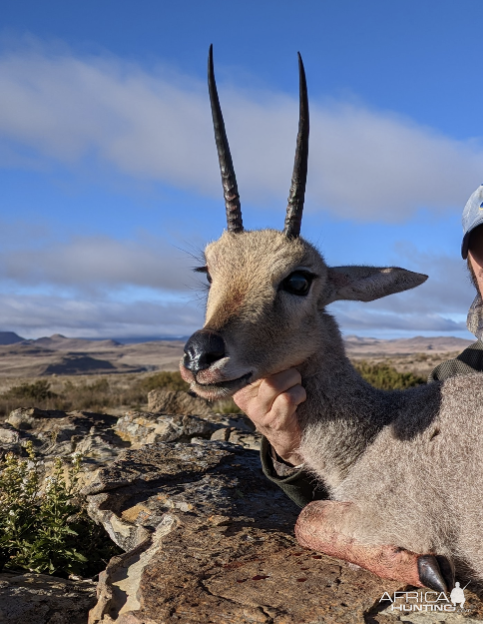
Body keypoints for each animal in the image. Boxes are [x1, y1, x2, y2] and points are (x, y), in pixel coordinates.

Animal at [180, 47, 482, 588]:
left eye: (299, 279)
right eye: (208, 270)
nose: (200, 355)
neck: (381, 426)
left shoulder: (402, 518)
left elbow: (307, 517)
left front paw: (431, 568)